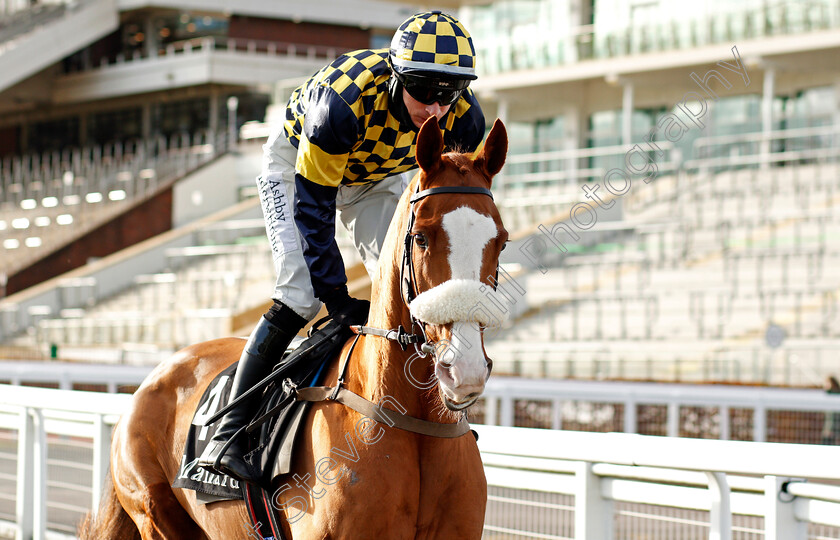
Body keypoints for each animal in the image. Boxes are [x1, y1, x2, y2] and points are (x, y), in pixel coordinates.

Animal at [80, 115, 512, 540]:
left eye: (502, 241)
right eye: (421, 237)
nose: (464, 370)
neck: (413, 422)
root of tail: (153, 378)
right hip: (154, 514)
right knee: (291, 301)